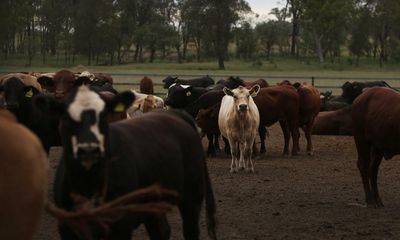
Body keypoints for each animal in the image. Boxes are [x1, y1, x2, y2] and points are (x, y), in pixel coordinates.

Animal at [34, 86, 217, 240]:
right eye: (67, 118)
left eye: (103, 117)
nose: (89, 150)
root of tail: (179, 116)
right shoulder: (68, 227)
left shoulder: (121, 225)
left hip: (191, 198)